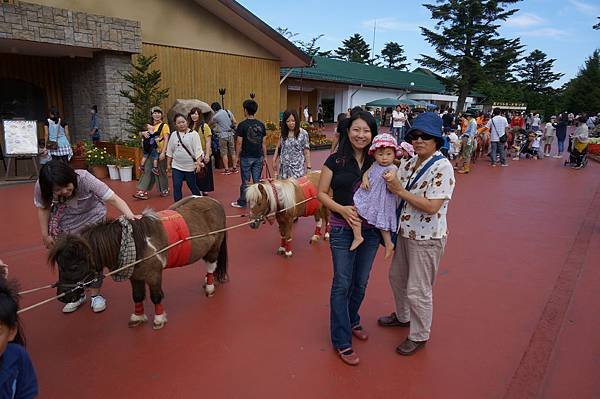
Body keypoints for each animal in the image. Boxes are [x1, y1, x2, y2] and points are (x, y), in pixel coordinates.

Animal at [48, 197, 227, 332]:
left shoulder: (154, 275)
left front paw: (159, 319)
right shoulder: (135, 277)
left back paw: (210, 287)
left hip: (214, 246)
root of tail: (215, 202)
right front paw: (138, 317)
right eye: (59, 265)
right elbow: (137, 296)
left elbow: (156, 297)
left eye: (74, 267)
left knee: (211, 266)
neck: (135, 243)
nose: (63, 297)